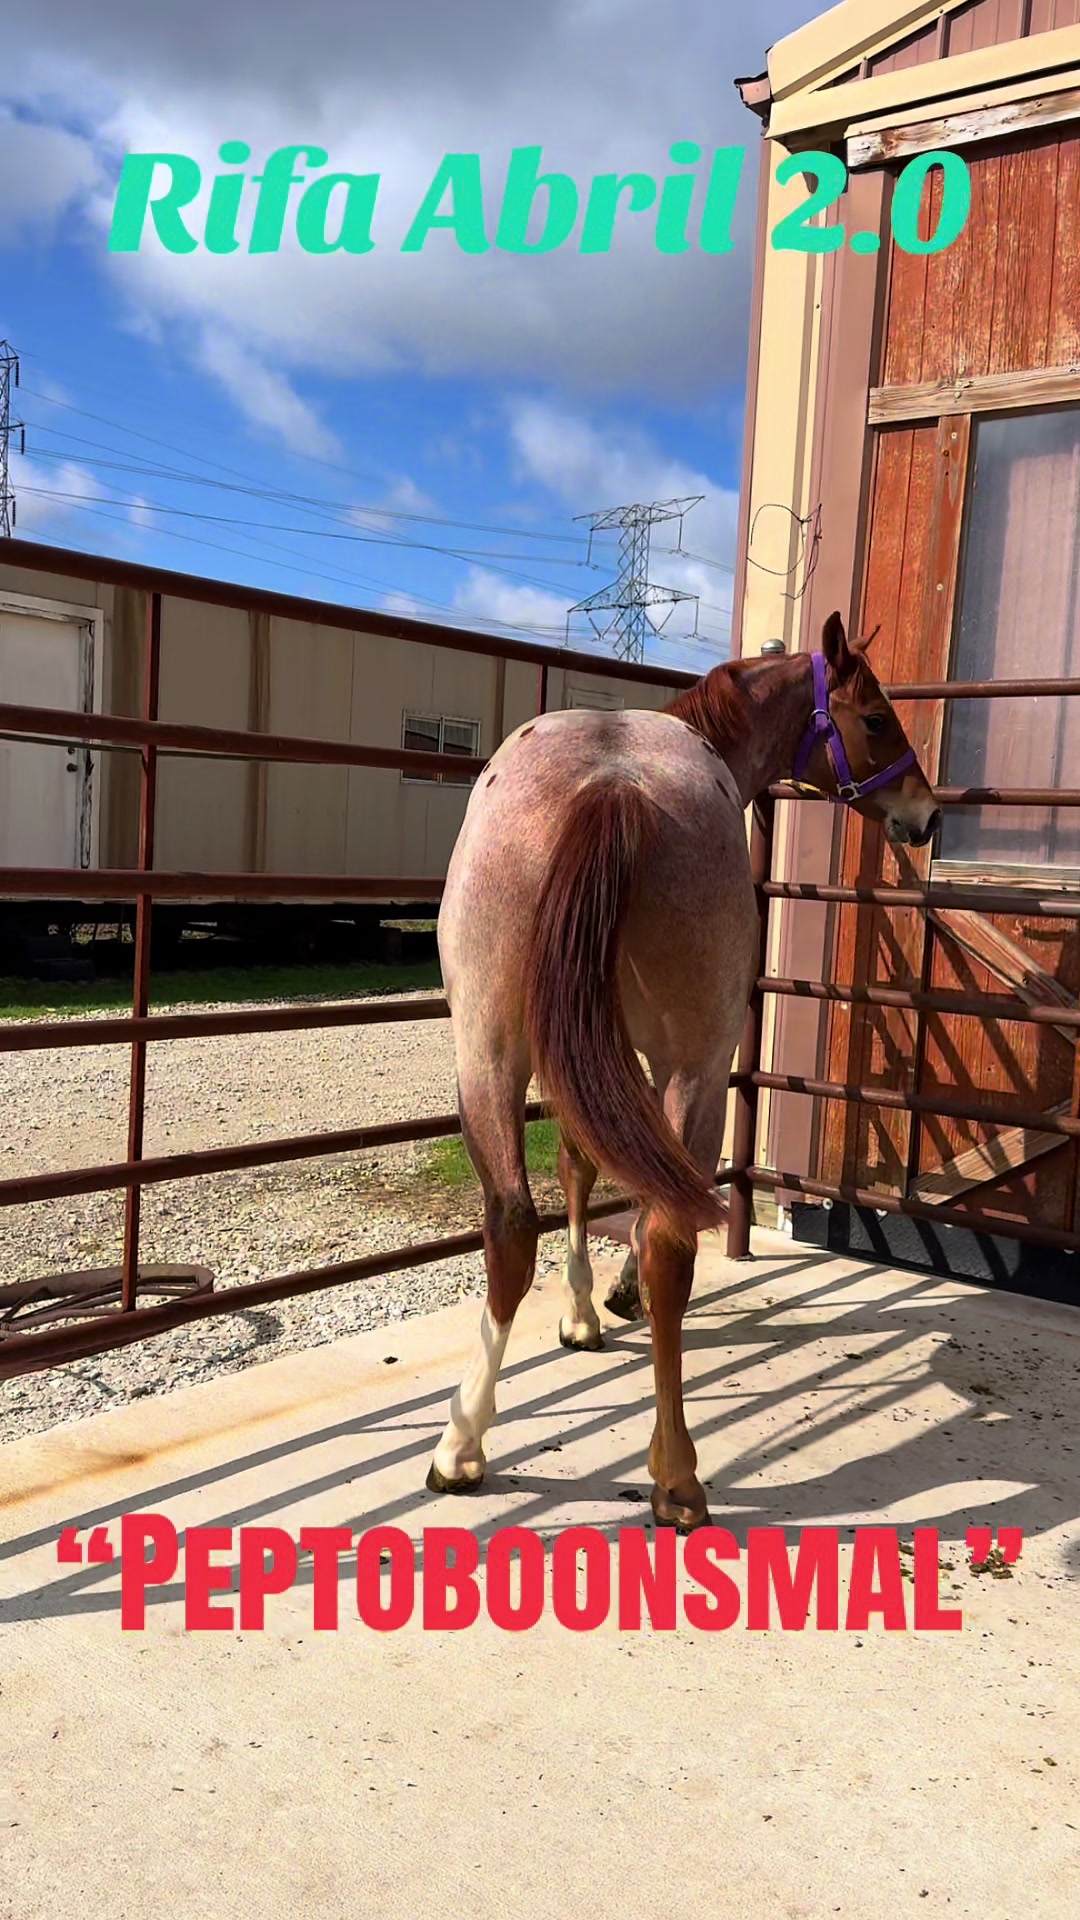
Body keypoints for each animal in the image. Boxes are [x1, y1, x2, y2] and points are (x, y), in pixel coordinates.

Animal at [426, 611, 939, 1531]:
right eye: (878, 718)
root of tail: (614, 787)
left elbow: (582, 1164)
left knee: (513, 1221)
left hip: (486, 1053)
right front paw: (600, 1303)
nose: (926, 813)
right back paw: (676, 1476)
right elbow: (600, 1172)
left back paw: (463, 1444)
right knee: (667, 1236)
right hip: (694, 1066)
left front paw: (586, 1308)